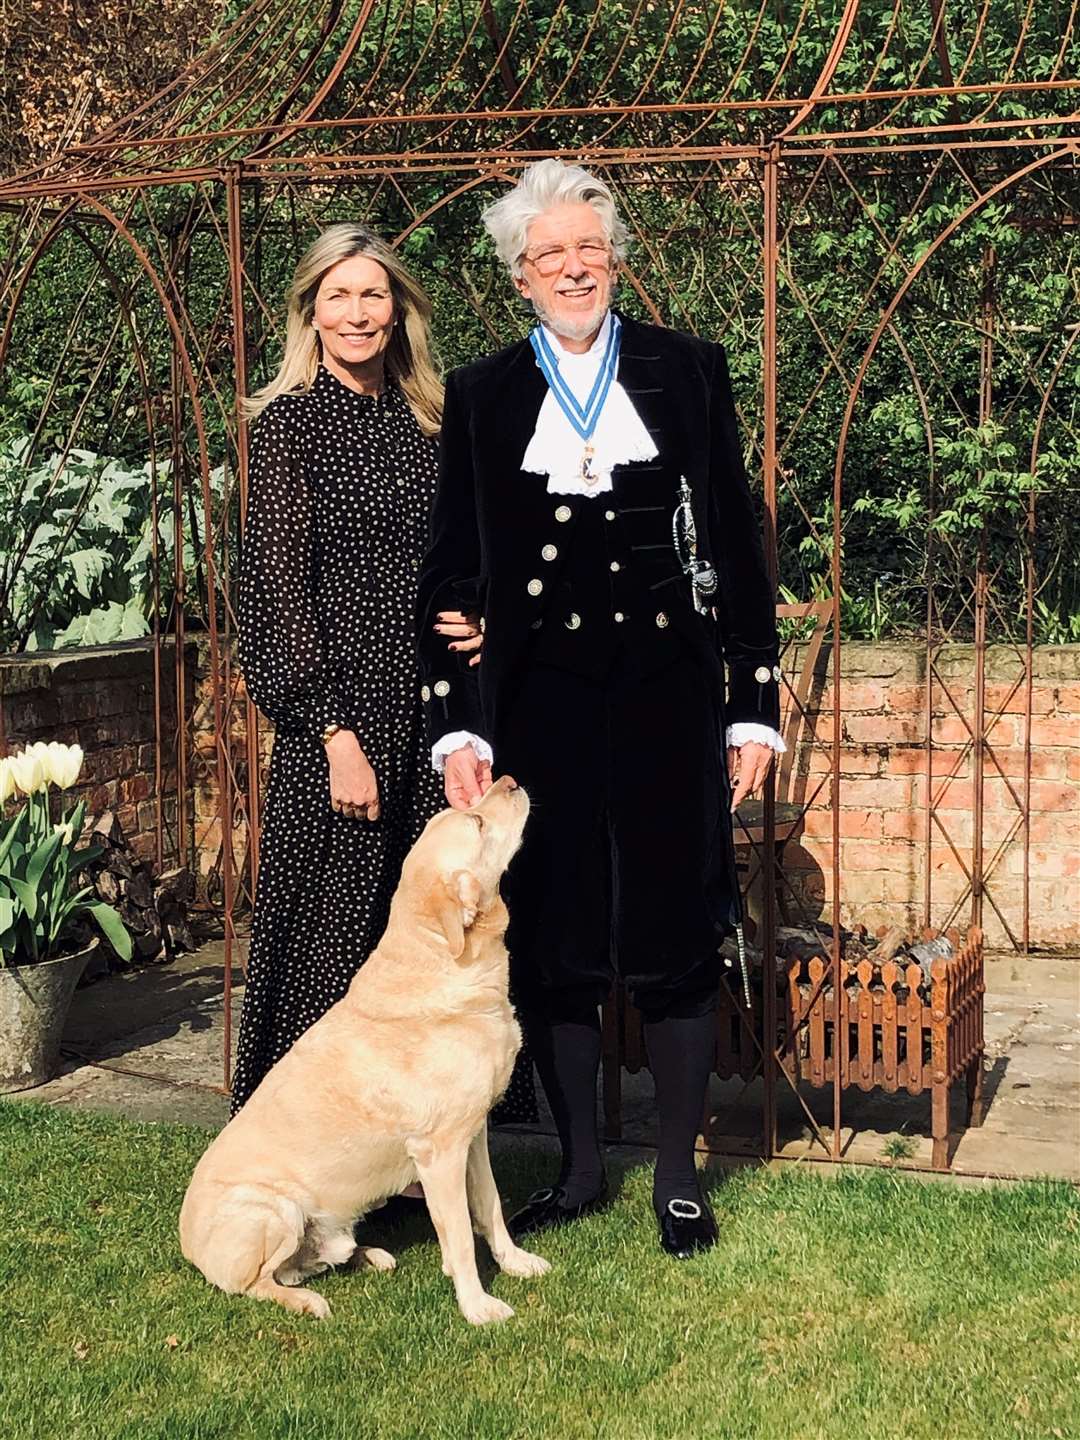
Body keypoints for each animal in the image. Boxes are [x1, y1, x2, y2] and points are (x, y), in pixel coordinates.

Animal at [182, 777, 550, 1324]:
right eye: (477, 821)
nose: (506, 780)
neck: (446, 962)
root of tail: (185, 1246)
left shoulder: (474, 1134)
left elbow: (489, 1205)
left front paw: (515, 1262)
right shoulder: (439, 1151)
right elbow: (460, 1236)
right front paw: (477, 1305)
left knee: (307, 1263)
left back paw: (369, 1255)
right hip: (274, 1209)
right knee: (259, 1283)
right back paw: (308, 1301)